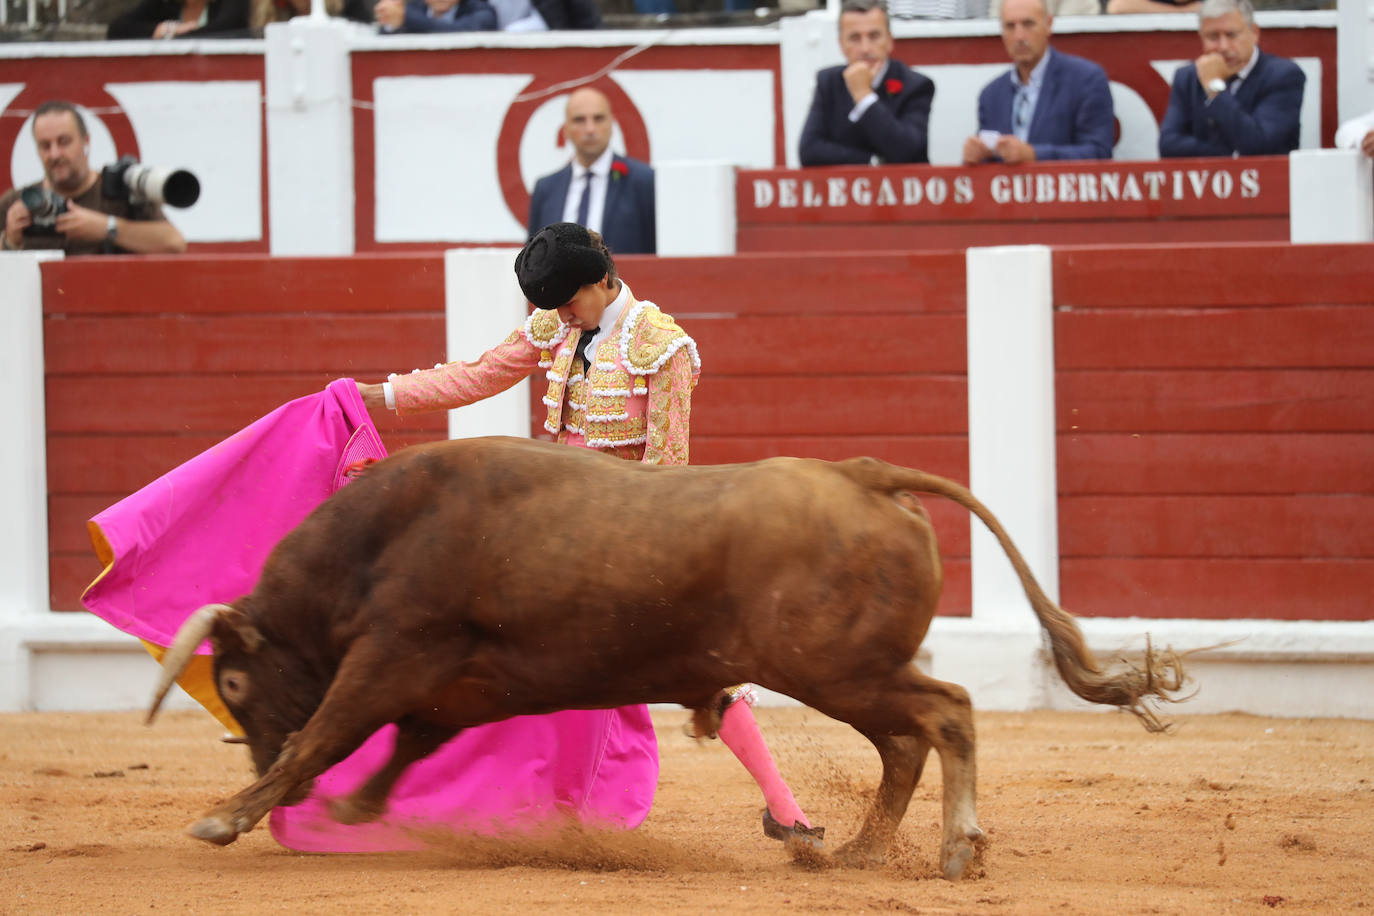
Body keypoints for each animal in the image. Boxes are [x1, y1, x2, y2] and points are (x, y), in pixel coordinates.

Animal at [147, 436, 1181, 878]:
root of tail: (862, 474)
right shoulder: (451, 683)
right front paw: (358, 808)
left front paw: (227, 816)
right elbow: (403, 743)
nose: (243, 750)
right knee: (905, 741)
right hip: (845, 674)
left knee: (946, 712)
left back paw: (954, 849)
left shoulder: (394, 652)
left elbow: (320, 737)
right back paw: (854, 849)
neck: (376, 540)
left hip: (836, 667)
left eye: (231, 679)